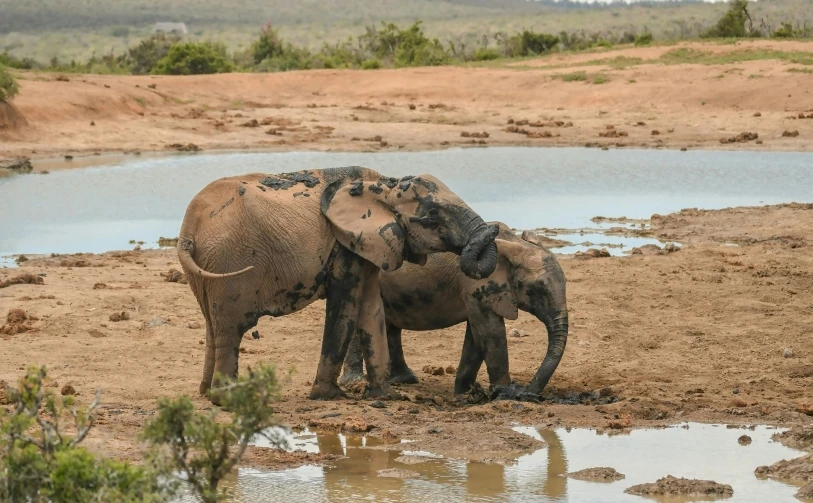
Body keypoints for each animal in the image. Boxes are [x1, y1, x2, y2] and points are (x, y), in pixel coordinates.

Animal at [176, 167, 502, 404]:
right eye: (433, 214)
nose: (495, 230)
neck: (384, 184)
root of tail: (189, 230)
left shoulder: (366, 245)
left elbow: (371, 308)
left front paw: (387, 396)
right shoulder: (345, 245)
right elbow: (346, 305)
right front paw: (330, 396)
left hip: (208, 268)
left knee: (213, 327)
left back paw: (206, 394)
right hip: (229, 263)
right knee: (231, 330)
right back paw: (225, 401)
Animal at [340, 222, 568, 400]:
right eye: (536, 290)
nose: (529, 392)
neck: (514, 243)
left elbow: (476, 336)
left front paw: (465, 393)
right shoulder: (477, 283)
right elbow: (490, 332)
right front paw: (505, 393)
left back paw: (405, 380)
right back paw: (354, 382)